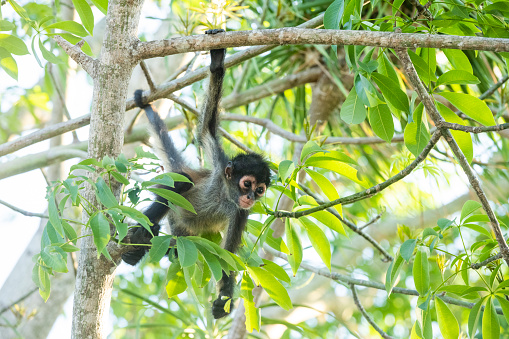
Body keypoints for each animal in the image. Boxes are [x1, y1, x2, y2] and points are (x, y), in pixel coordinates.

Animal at [122, 28, 272, 318]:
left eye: (260, 190)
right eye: (247, 184)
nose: (250, 198)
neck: (225, 195)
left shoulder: (240, 213)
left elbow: (229, 254)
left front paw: (224, 300)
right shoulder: (221, 164)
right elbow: (207, 128)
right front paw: (217, 61)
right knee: (181, 185)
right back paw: (140, 235)